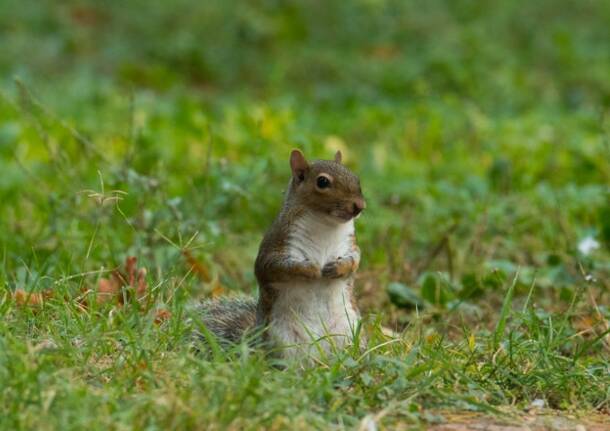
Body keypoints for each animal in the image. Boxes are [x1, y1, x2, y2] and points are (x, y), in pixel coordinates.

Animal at [197, 149, 364, 362]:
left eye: (356, 177)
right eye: (322, 182)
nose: (359, 206)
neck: (326, 225)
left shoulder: (350, 245)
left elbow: (355, 260)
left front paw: (338, 268)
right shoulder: (276, 245)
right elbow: (276, 267)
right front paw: (310, 269)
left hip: (349, 332)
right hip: (283, 341)